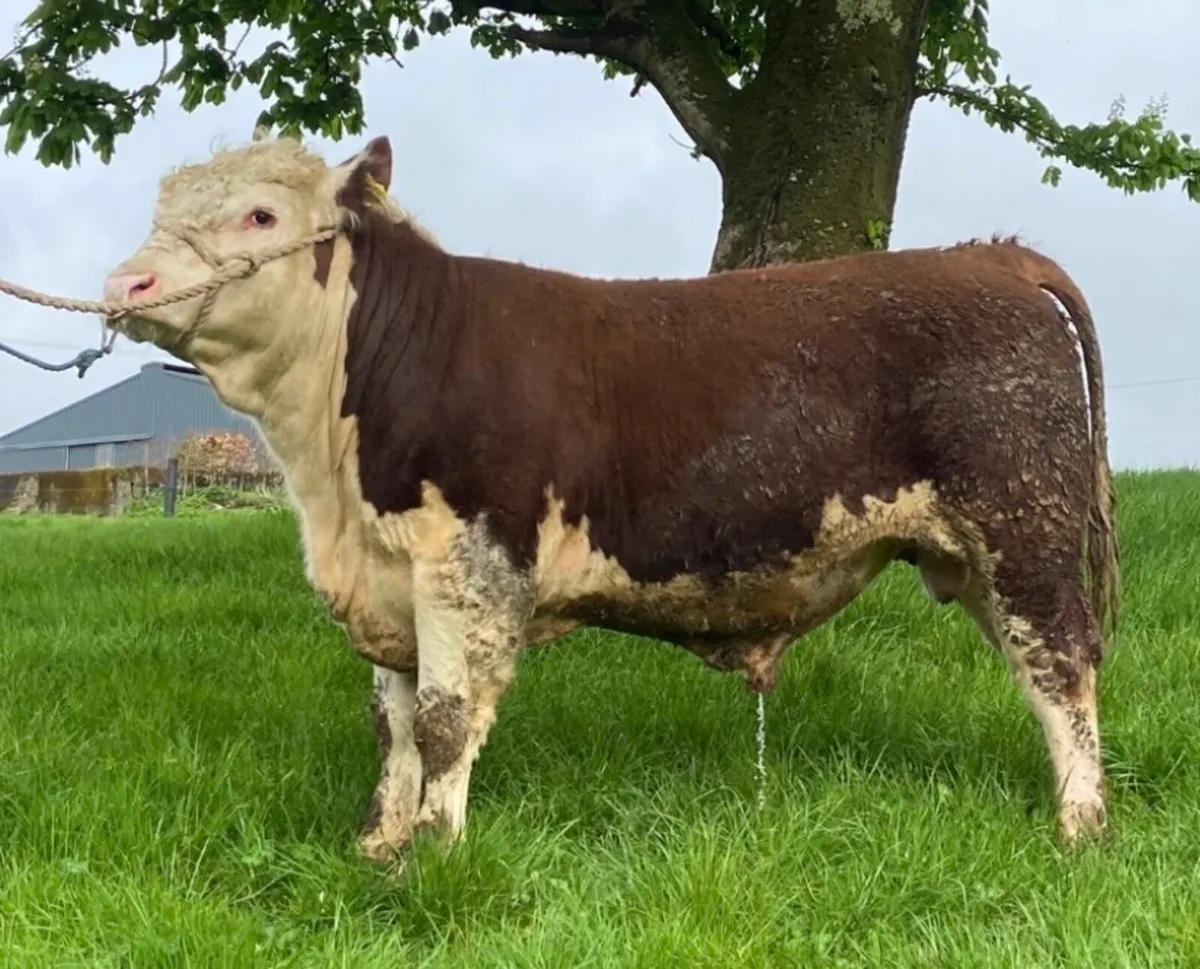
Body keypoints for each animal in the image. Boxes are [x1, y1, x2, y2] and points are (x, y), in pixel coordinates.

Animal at [99, 131, 1119, 861]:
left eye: (261, 215)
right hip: (976, 554)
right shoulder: (391, 578)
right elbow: (393, 722)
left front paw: (433, 852)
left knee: (1061, 667)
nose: (125, 281)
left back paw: (1080, 827)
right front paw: (378, 844)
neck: (334, 480)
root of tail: (996, 257)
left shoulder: (469, 565)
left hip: (1022, 530)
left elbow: (442, 721)